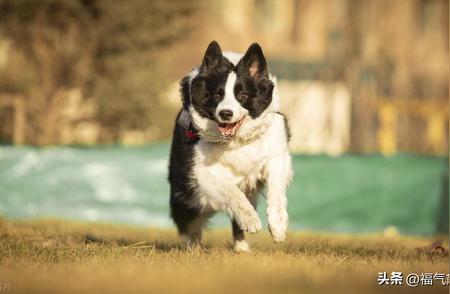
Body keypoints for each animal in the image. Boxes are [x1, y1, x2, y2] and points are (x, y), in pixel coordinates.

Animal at [169, 40, 292, 253]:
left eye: (242, 95)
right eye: (218, 95)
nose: (225, 113)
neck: (236, 141)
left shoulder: (277, 155)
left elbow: (275, 192)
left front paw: (278, 227)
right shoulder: (200, 171)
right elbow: (232, 192)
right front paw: (250, 219)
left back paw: (241, 248)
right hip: (184, 191)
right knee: (187, 221)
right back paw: (193, 247)